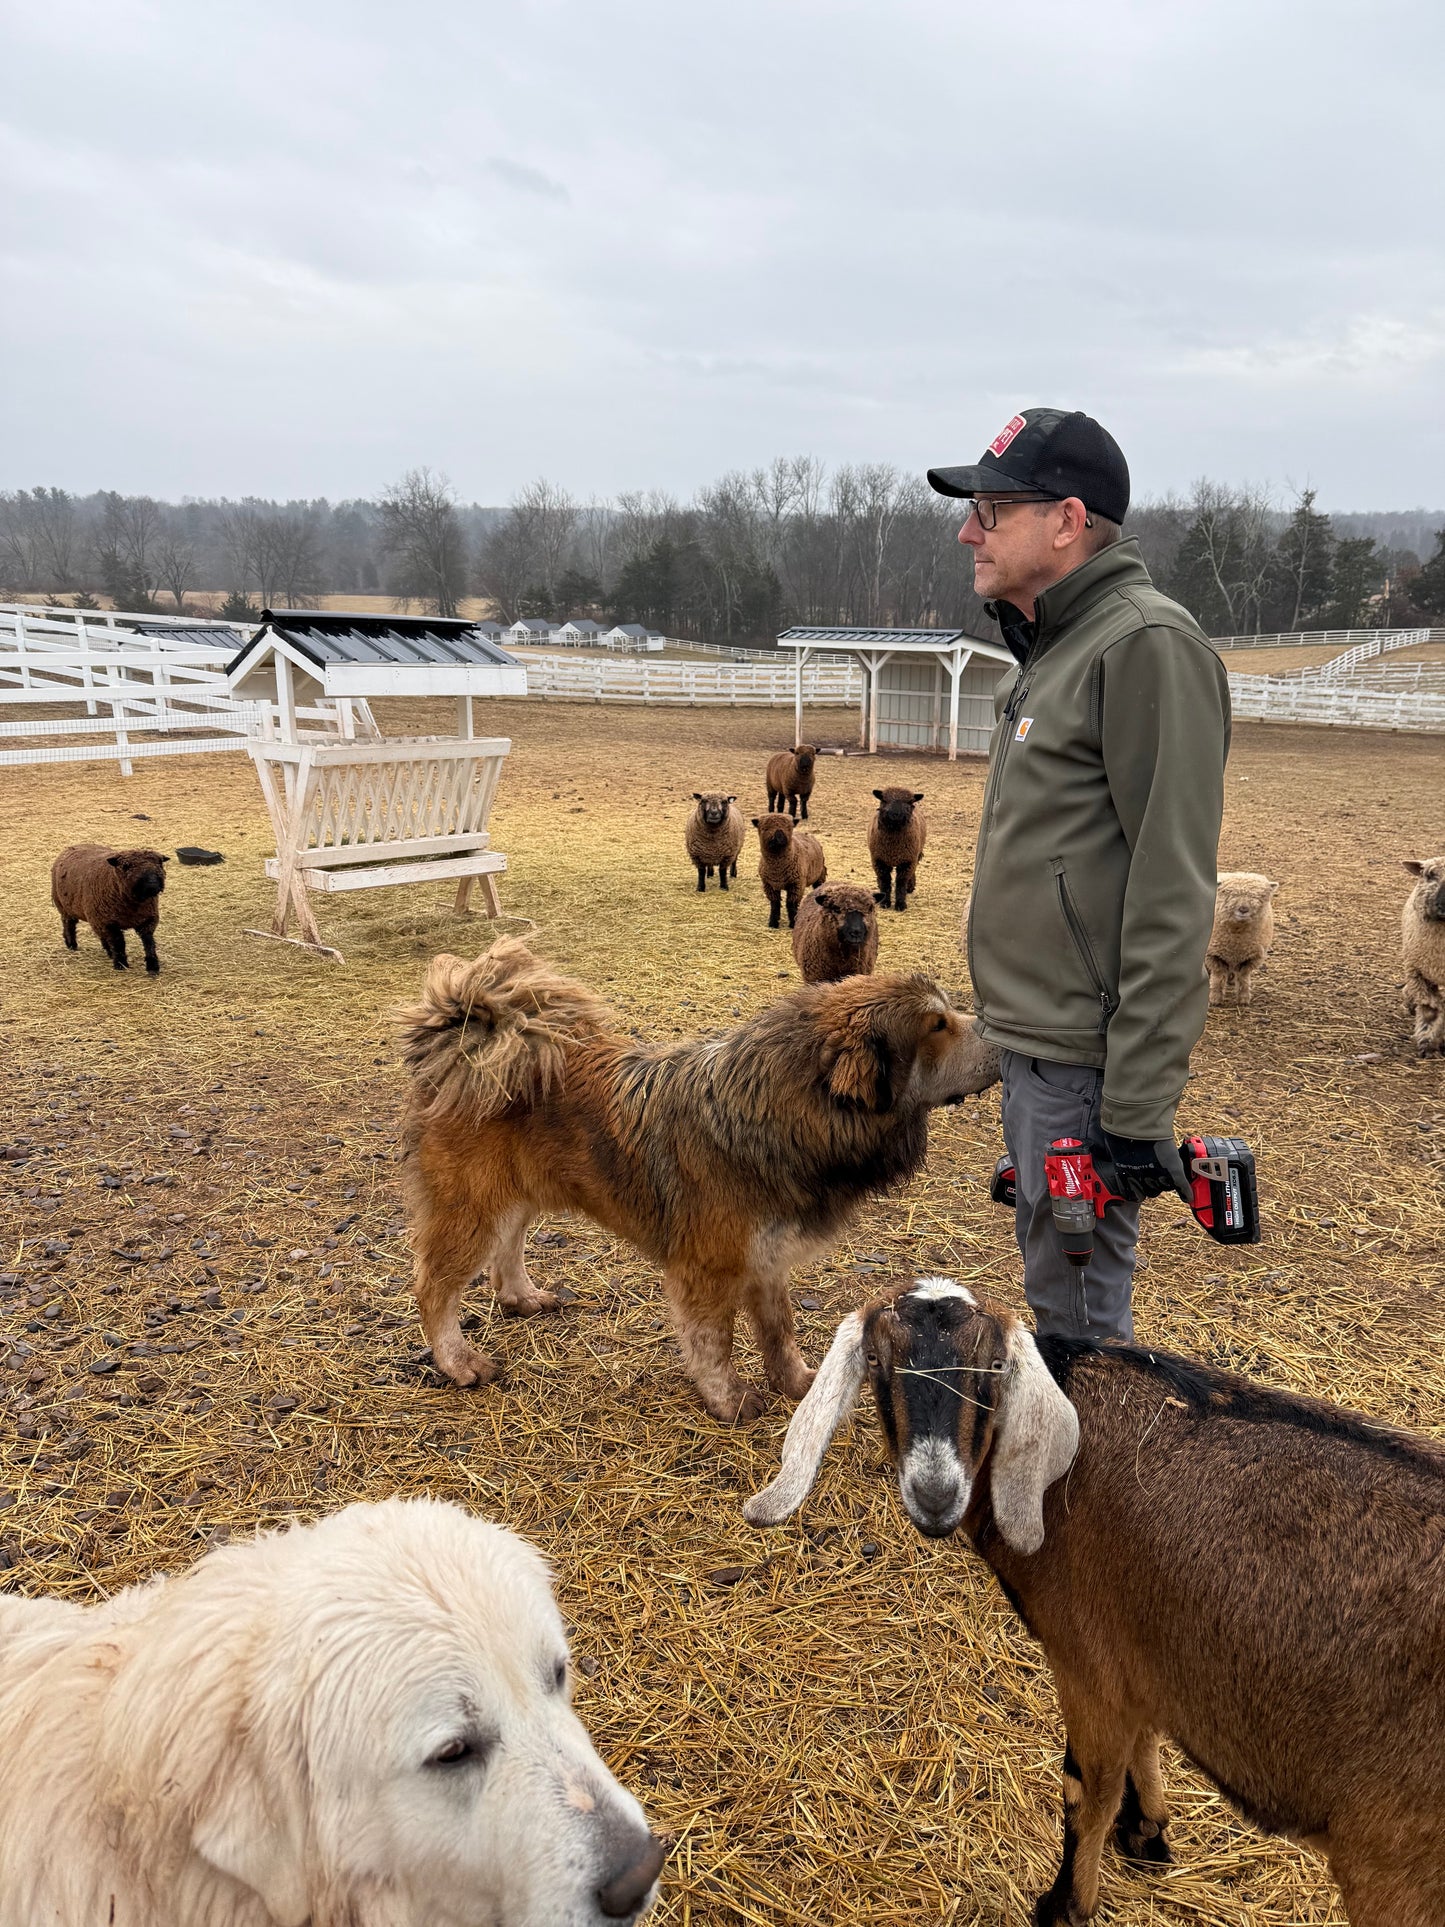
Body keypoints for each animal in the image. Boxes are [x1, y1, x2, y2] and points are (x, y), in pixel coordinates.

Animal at [402, 940, 1001, 1425]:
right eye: (937, 1026)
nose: (1004, 1038)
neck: (780, 1114)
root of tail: (468, 1037)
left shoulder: (767, 1259)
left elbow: (779, 1331)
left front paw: (796, 1383)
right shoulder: (706, 1272)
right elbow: (714, 1343)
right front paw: (728, 1399)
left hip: (515, 1193)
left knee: (508, 1247)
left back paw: (521, 1296)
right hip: (471, 1209)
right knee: (434, 1289)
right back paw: (458, 1362)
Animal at [751, 1279, 1445, 1927]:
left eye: (995, 1367)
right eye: (875, 1361)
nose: (936, 1493)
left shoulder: (1086, 1662)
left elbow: (1085, 1791)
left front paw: (1065, 1904)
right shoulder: (1137, 1649)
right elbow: (1144, 1743)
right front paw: (1147, 1832)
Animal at [1202, 867, 1287, 1002]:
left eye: (1259, 896)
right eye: (1230, 893)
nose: (1243, 909)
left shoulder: (1250, 958)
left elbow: (1243, 977)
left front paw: (1243, 998)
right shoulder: (1213, 954)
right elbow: (1218, 977)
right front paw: (1215, 998)